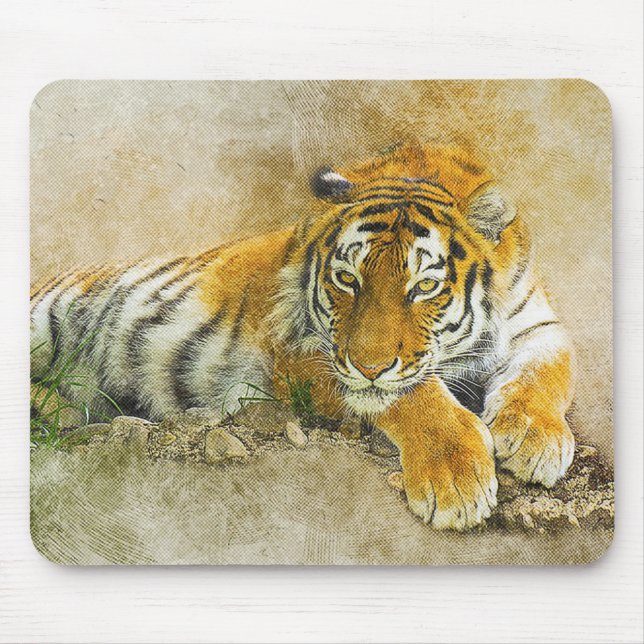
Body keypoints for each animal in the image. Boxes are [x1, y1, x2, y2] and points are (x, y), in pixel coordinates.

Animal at [30, 143, 576, 531]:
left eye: (424, 286)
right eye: (348, 279)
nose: (368, 366)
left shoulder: (537, 323)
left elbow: (548, 372)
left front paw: (536, 439)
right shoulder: (300, 349)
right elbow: (412, 395)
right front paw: (456, 480)